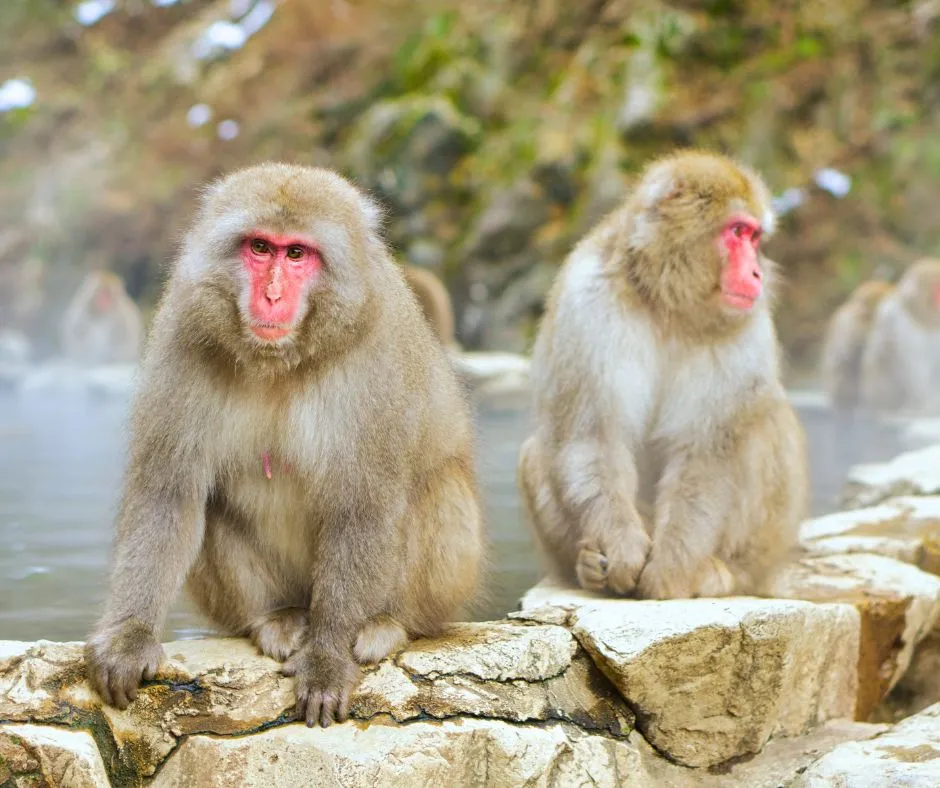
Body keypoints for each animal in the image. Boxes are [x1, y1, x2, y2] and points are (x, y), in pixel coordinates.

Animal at [84, 164, 484, 727]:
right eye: (259, 247)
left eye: (296, 254)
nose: (271, 296)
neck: (281, 362)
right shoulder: (183, 331)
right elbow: (168, 492)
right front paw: (129, 635)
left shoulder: (377, 359)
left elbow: (362, 509)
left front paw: (326, 659)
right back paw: (275, 618)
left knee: (437, 492)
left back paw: (387, 623)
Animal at [517, 150, 808, 601]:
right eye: (738, 232)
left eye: (755, 238)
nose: (757, 274)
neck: (669, 305)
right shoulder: (586, 302)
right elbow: (593, 436)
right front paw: (621, 550)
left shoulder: (747, 330)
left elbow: (706, 453)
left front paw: (670, 569)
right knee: (539, 449)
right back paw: (587, 566)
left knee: (761, 423)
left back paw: (721, 573)